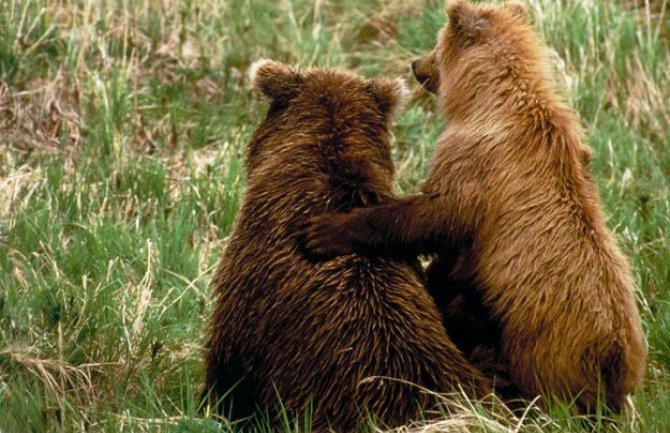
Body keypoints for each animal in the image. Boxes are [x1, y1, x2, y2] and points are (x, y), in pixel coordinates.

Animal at [302, 0, 648, 412]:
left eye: (436, 45)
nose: (416, 64)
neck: (487, 100)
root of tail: (616, 356)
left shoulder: (476, 166)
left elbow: (430, 218)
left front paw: (324, 230)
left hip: (542, 346)